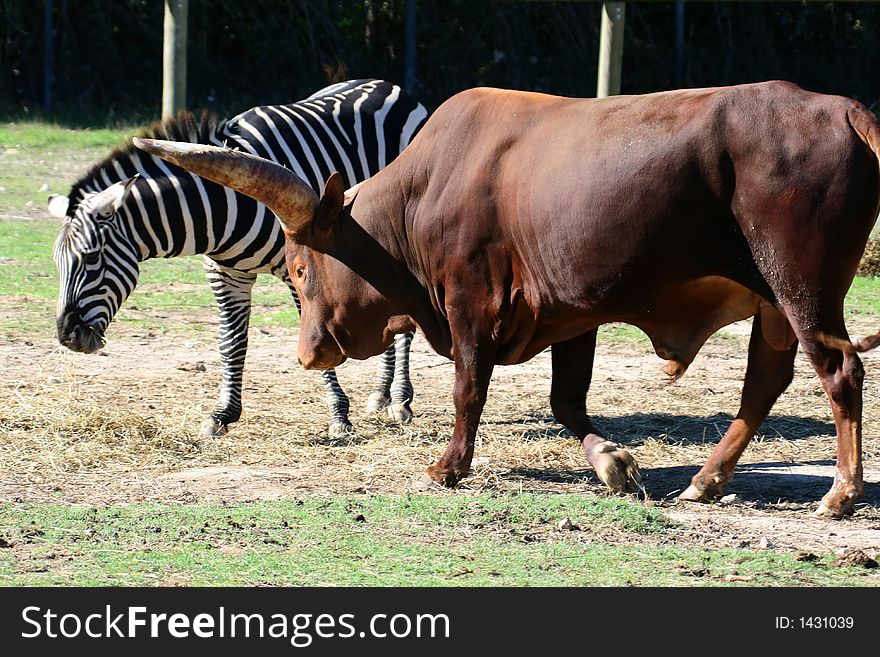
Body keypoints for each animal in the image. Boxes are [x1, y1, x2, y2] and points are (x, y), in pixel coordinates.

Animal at [49, 79, 428, 436]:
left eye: (91, 257)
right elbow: (231, 343)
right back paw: (380, 394)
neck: (218, 205)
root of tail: (387, 85)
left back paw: (399, 399)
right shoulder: (223, 273)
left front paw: (338, 415)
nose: (68, 337)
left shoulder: (298, 269)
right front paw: (223, 414)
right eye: (58, 263)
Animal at [132, 79, 880, 516]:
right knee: (765, 381)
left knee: (839, 370)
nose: (308, 352)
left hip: (800, 287)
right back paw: (707, 479)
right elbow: (566, 402)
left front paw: (448, 466)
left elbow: (470, 387)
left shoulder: (472, 302)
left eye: (299, 266)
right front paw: (612, 463)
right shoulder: (575, 310)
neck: (422, 191)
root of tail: (842, 108)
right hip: (773, 301)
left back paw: (840, 494)